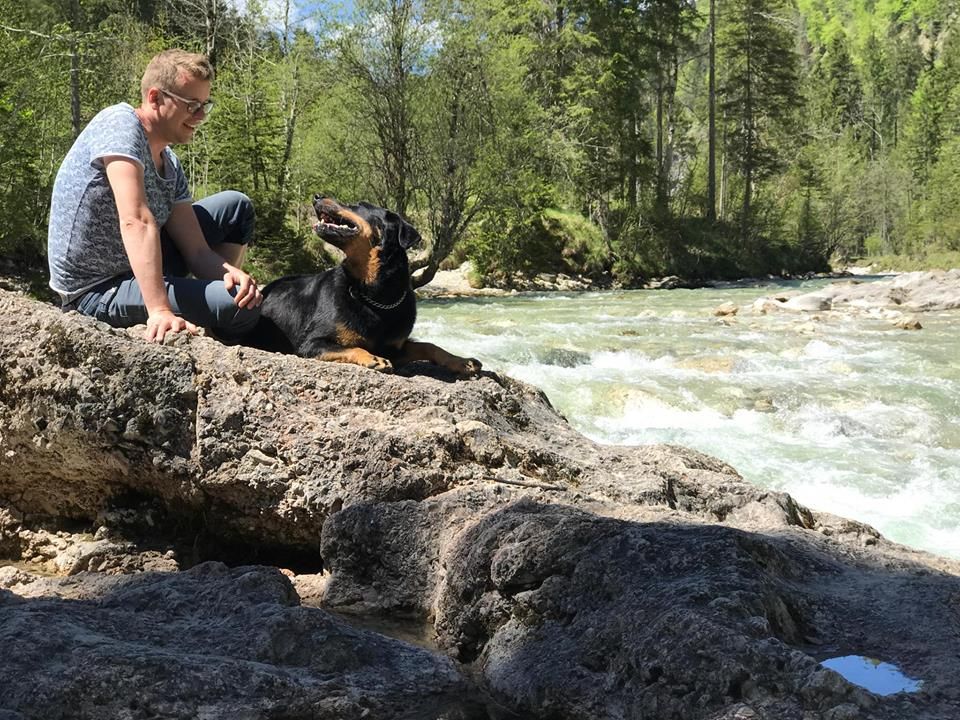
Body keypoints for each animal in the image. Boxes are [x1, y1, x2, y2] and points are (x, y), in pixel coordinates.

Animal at [244, 195, 484, 376]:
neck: (376, 295)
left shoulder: (395, 348)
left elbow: (429, 345)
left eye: (356, 205)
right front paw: (372, 358)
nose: (317, 196)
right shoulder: (310, 343)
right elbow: (352, 346)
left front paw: (461, 361)